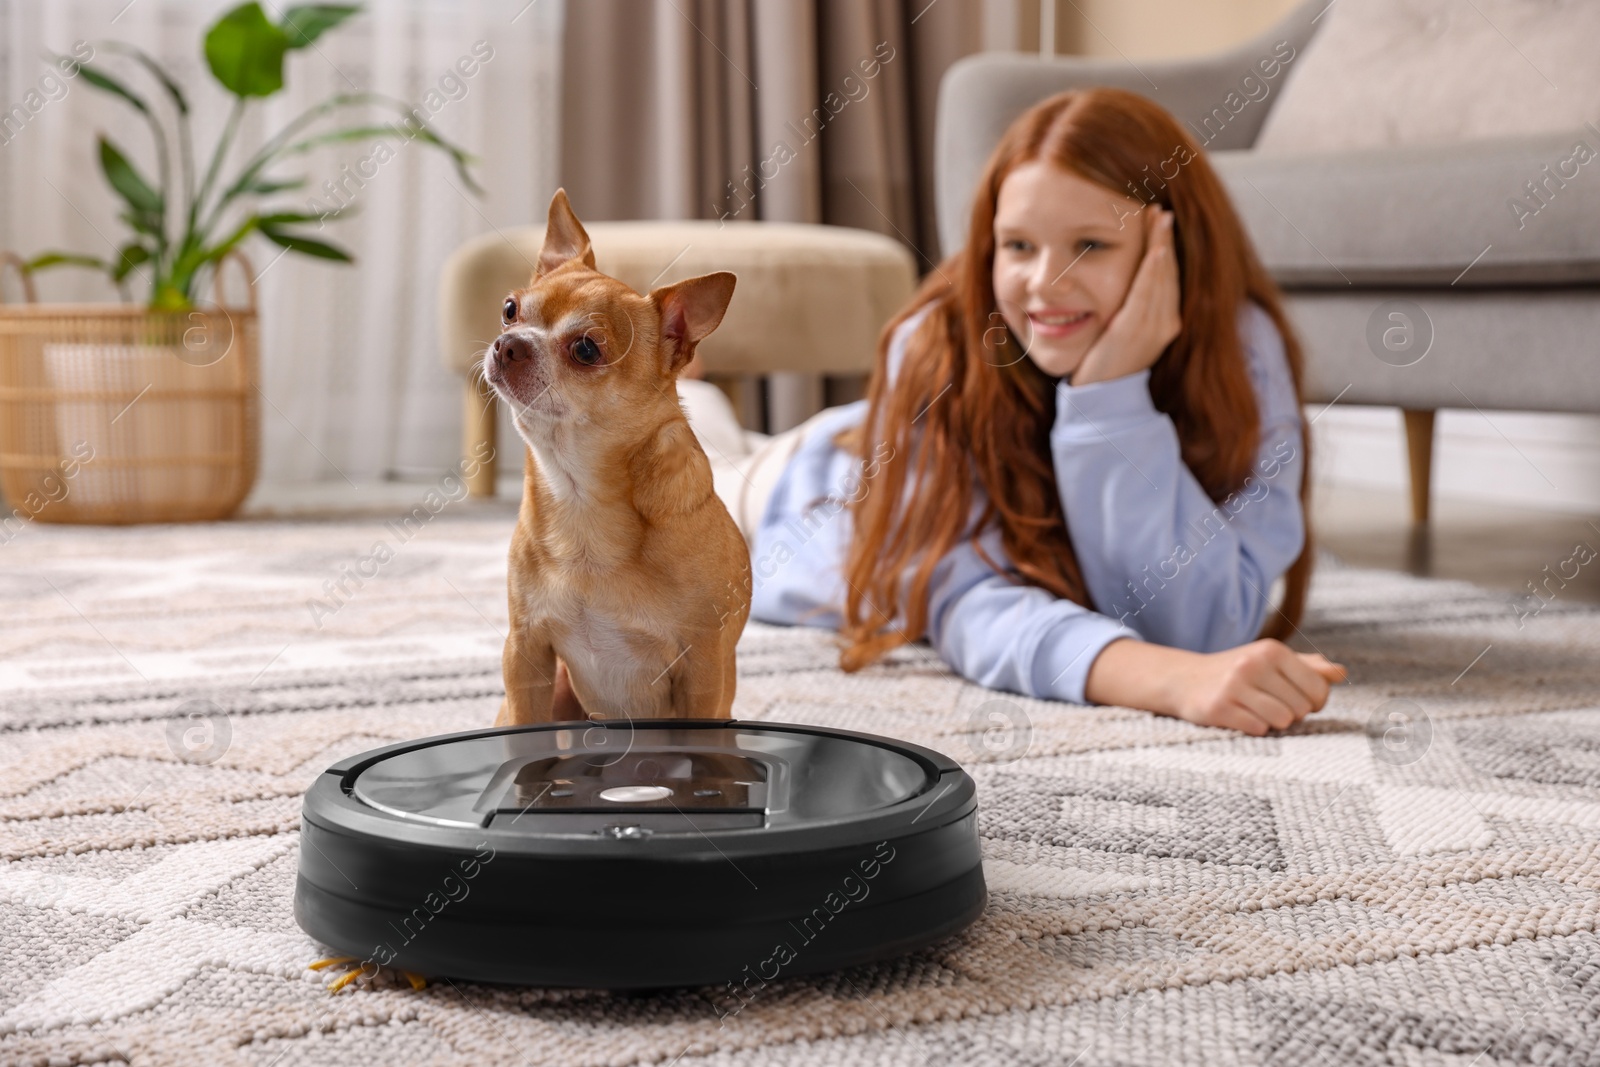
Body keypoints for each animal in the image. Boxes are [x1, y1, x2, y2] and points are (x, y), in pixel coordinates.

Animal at [483, 191, 752, 726]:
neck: (580, 494)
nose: (508, 343)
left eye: (586, 349)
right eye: (509, 309)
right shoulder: (525, 651)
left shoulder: (702, 669)